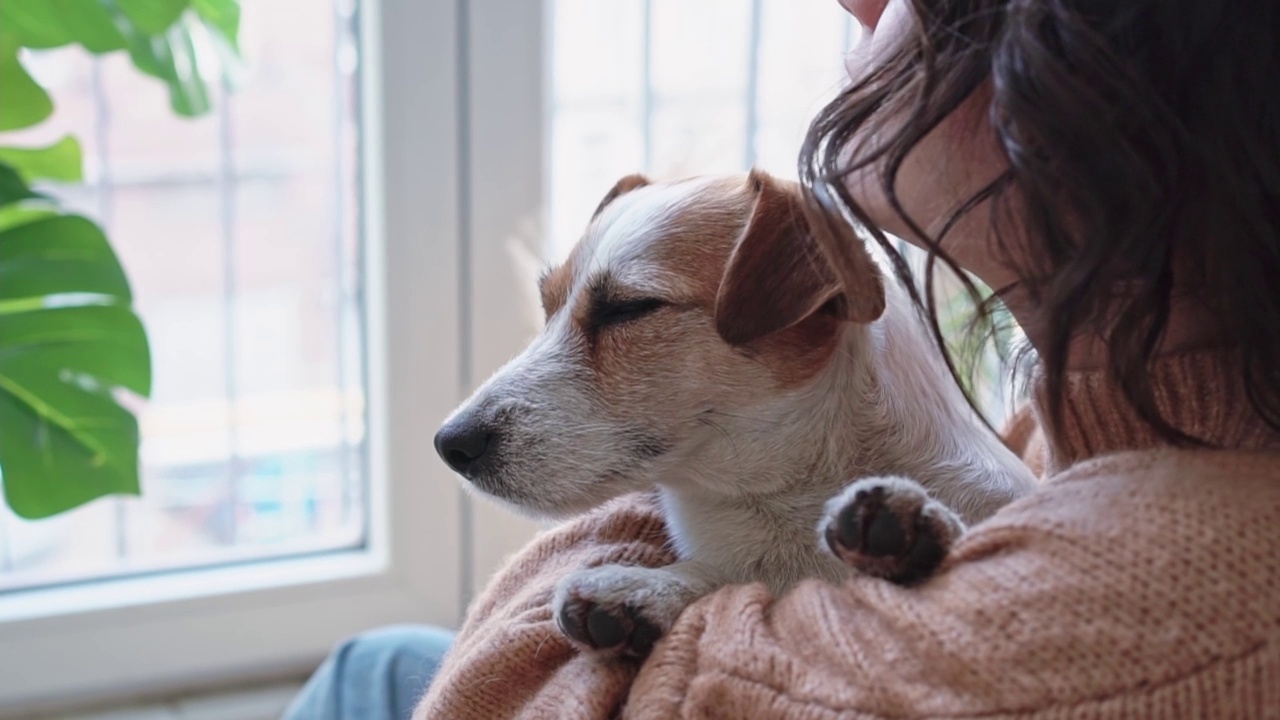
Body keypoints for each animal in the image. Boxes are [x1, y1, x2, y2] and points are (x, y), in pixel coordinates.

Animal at [435, 167, 1034, 655]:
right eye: (547, 307)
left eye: (629, 308)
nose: (449, 444)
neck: (790, 492)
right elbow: (733, 575)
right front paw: (651, 589)